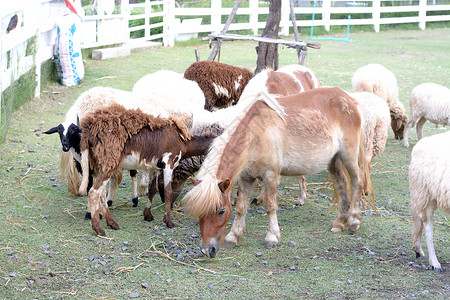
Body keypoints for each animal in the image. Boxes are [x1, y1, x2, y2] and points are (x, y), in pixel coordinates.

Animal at [183, 86, 370, 258]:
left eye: (221, 211)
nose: (207, 250)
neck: (256, 134)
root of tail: (350, 99)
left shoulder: (271, 175)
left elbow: (270, 206)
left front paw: (272, 237)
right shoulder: (246, 178)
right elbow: (241, 208)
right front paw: (233, 237)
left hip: (348, 156)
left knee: (357, 181)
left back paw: (354, 221)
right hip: (333, 160)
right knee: (342, 185)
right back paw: (339, 222)